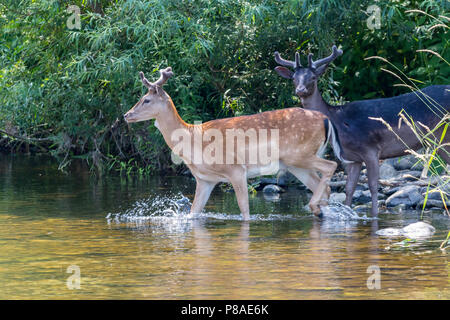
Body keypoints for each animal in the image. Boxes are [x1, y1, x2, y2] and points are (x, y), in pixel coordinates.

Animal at [124, 67, 338, 220]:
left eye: (146, 100)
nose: (126, 115)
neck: (195, 141)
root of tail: (326, 120)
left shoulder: (236, 169)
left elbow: (245, 212)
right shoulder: (205, 180)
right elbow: (194, 212)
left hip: (300, 154)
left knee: (332, 165)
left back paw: (315, 208)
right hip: (296, 164)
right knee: (324, 185)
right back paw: (321, 212)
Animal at [276, 45, 448, 215]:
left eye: (313, 77)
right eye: (293, 78)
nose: (300, 90)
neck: (339, 124)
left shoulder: (370, 149)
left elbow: (373, 186)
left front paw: (374, 215)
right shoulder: (353, 158)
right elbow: (349, 188)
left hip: (441, 137)